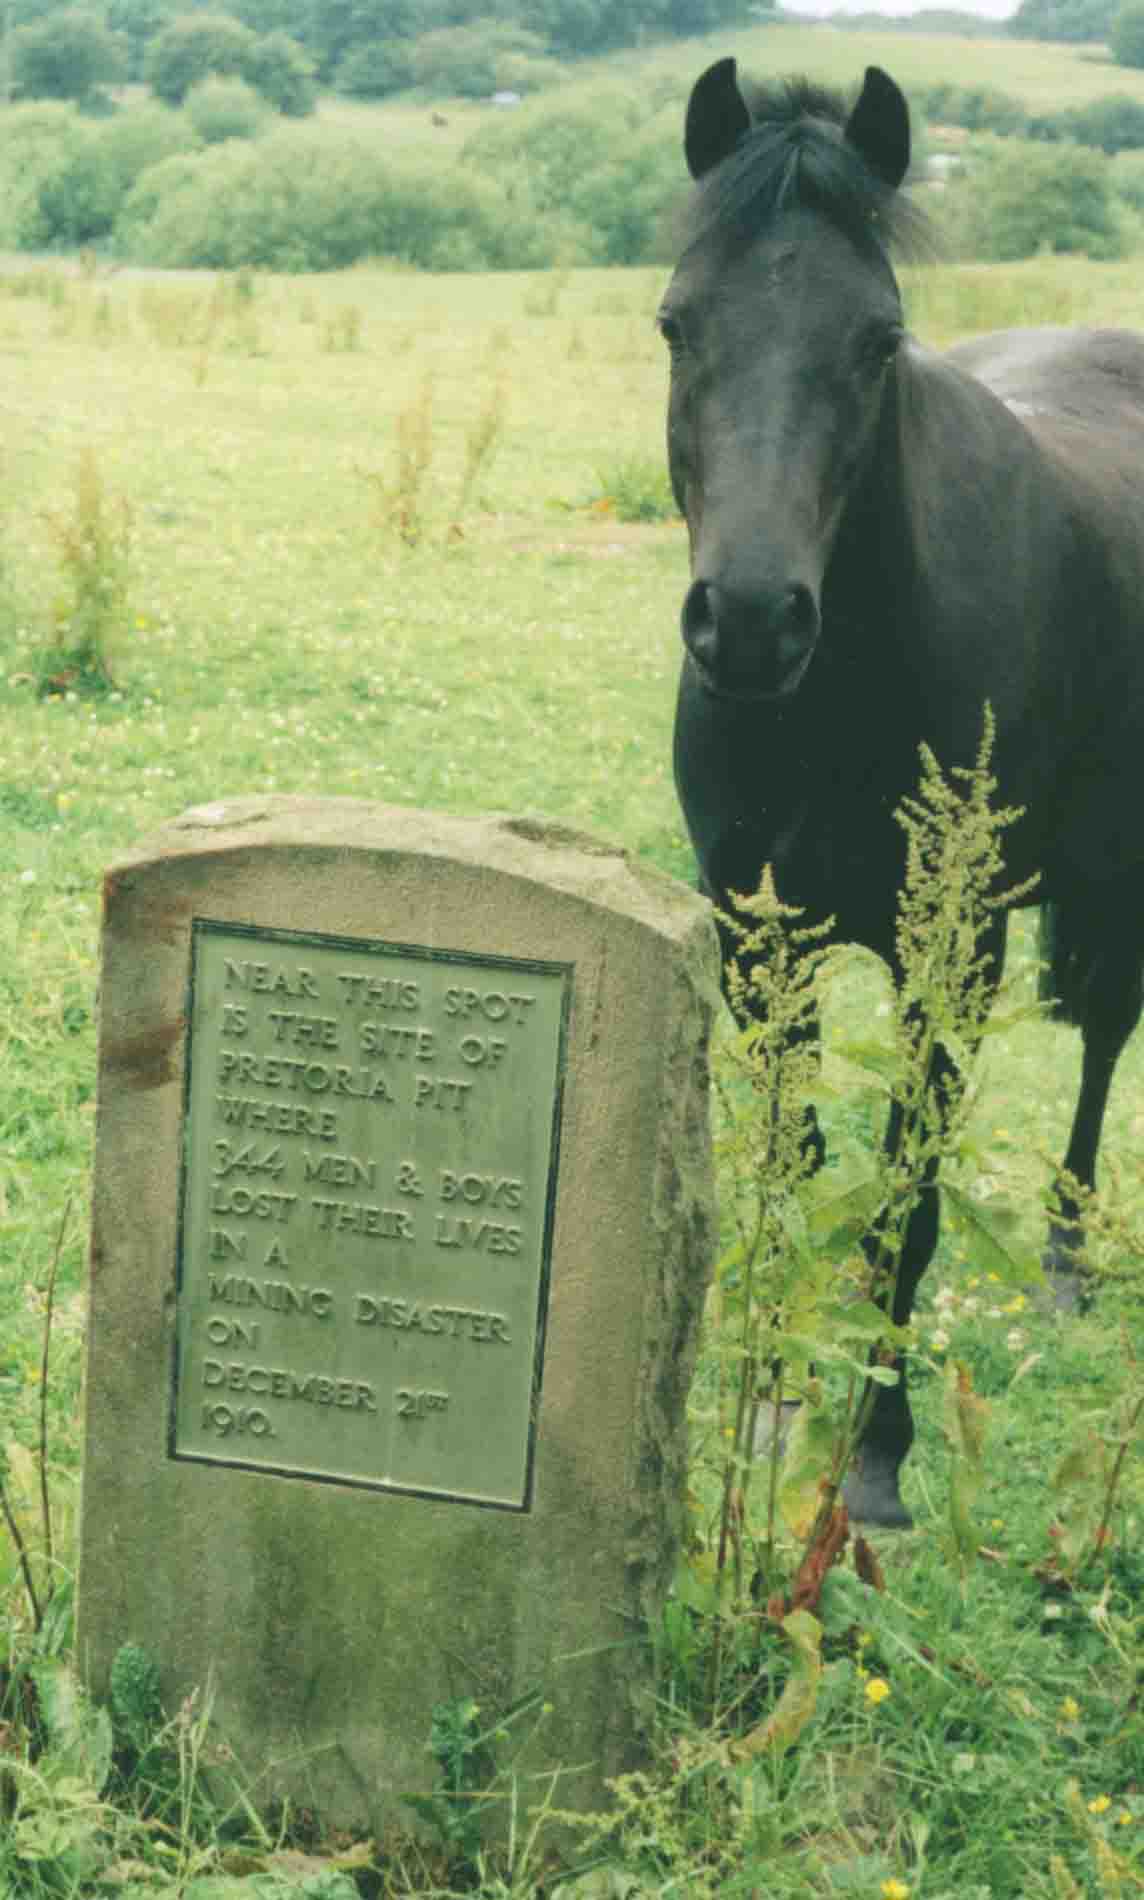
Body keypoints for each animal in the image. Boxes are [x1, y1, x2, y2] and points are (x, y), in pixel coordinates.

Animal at [665, 59, 1140, 1527]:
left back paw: (1065, 1257)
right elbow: (795, 1162)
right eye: (675, 325)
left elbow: (906, 1202)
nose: (751, 620)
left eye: (879, 340)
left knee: (1105, 1041)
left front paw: (873, 1452)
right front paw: (771, 1399)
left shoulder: (957, 953)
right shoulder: (757, 938)